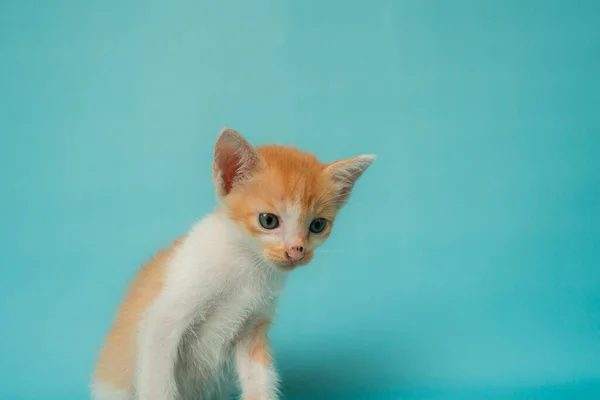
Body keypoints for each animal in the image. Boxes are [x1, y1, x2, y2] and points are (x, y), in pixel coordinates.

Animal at [92, 129, 376, 400]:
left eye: (317, 225)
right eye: (268, 221)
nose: (296, 251)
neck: (247, 265)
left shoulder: (252, 329)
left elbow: (260, 379)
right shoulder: (163, 320)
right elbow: (157, 383)